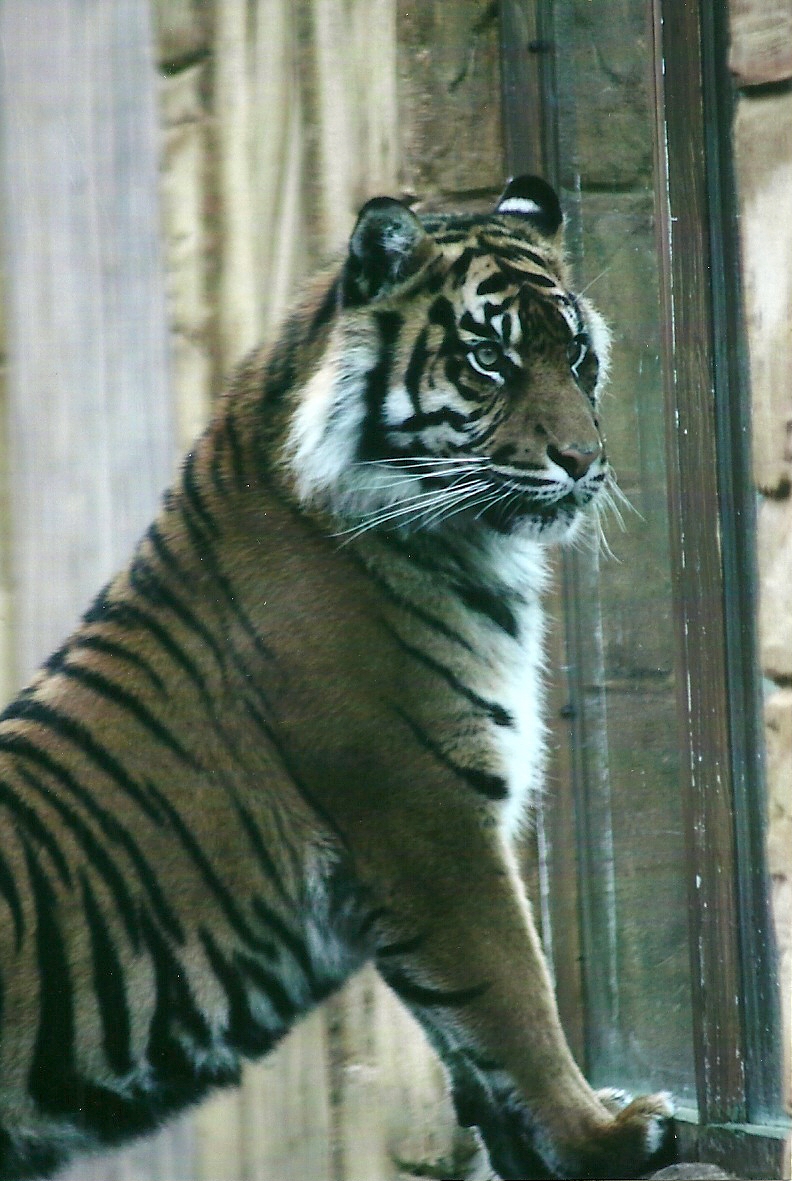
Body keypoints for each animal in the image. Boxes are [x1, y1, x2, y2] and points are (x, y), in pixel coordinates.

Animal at [0, 175, 674, 1181]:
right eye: (489, 359)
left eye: (578, 353)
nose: (584, 462)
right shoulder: (428, 820)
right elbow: (516, 1001)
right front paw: (608, 1135)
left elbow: (474, 1050)